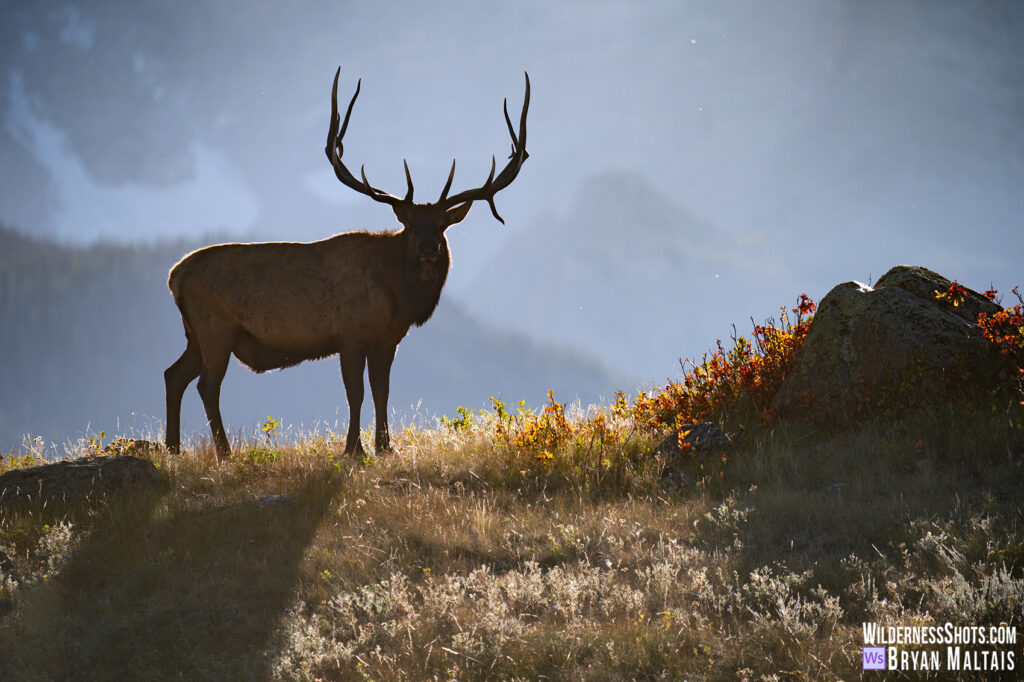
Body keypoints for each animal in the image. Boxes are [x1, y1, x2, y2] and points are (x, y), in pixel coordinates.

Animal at [164, 67, 529, 458]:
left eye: (442, 225)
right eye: (410, 224)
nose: (429, 246)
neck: (398, 295)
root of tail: (174, 276)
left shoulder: (388, 339)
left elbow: (382, 392)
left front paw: (385, 446)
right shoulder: (350, 333)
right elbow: (356, 394)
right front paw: (355, 448)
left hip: (195, 334)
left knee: (174, 374)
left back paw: (172, 447)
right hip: (216, 327)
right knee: (206, 385)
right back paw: (224, 452)